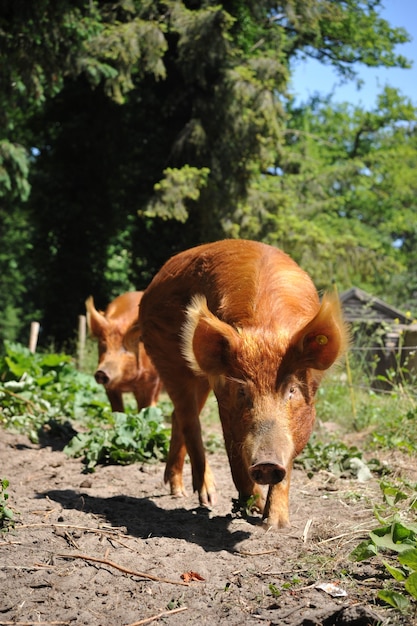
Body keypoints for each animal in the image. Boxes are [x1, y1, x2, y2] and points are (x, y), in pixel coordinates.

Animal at [135, 239, 346, 528]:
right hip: (167, 358)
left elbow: (290, 454)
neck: (266, 325)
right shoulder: (225, 398)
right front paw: (253, 508)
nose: (267, 463)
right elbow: (232, 450)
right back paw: (205, 498)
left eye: (292, 390)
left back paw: (177, 491)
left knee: (177, 415)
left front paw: (275, 524)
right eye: (243, 390)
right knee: (189, 419)